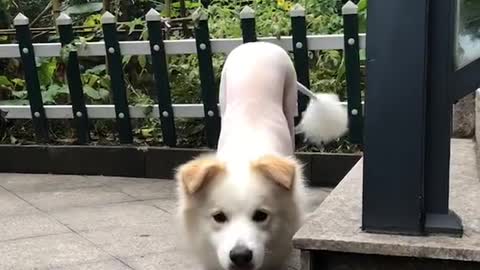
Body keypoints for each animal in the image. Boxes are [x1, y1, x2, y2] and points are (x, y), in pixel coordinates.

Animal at [174, 42, 346, 270]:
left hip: (289, 100)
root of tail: (258, 44)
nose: (240, 256)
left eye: (260, 215)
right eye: (219, 217)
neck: (244, 154)